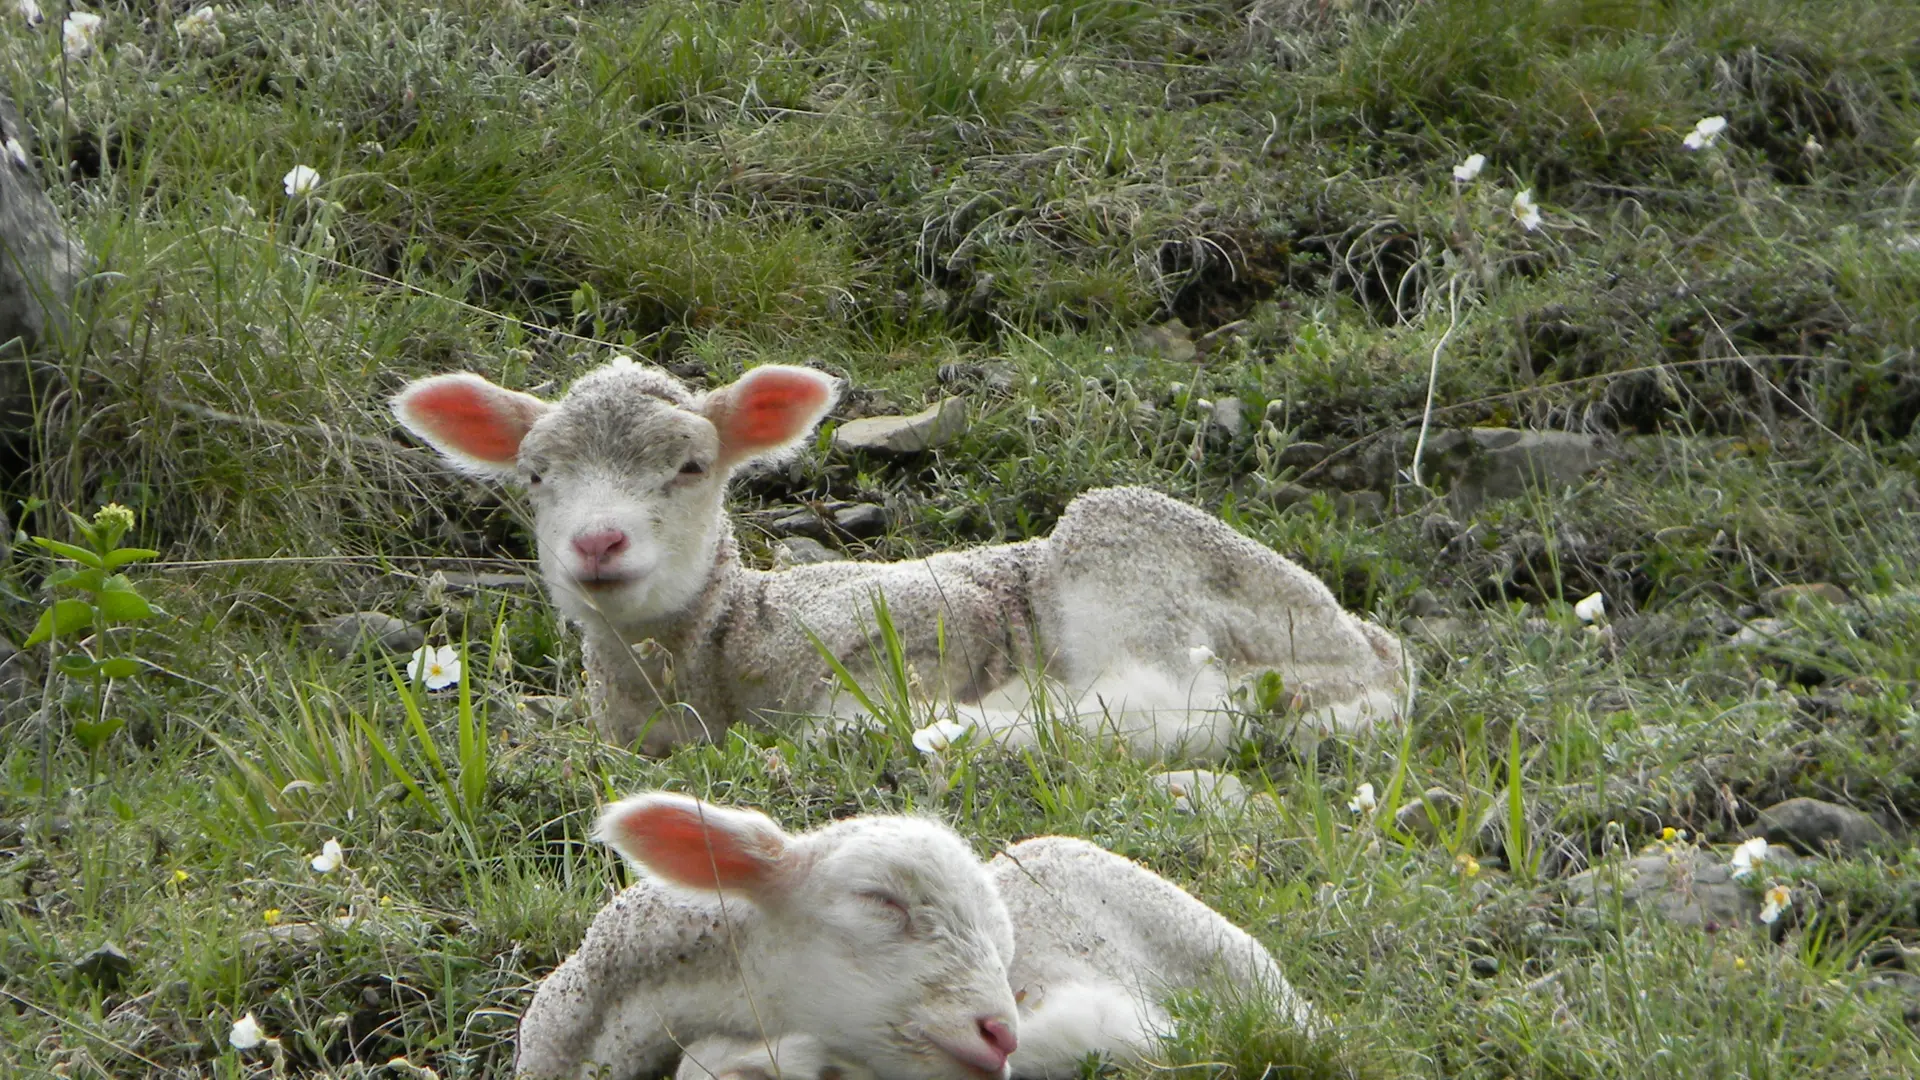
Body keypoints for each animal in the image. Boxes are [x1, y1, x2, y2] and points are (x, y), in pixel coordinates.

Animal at [393, 357, 1413, 753]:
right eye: (535, 477)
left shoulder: (908, 629)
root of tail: (1376, 651)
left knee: (1177, 705)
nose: (597, 541)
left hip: (1132, 559)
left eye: (690, 467)